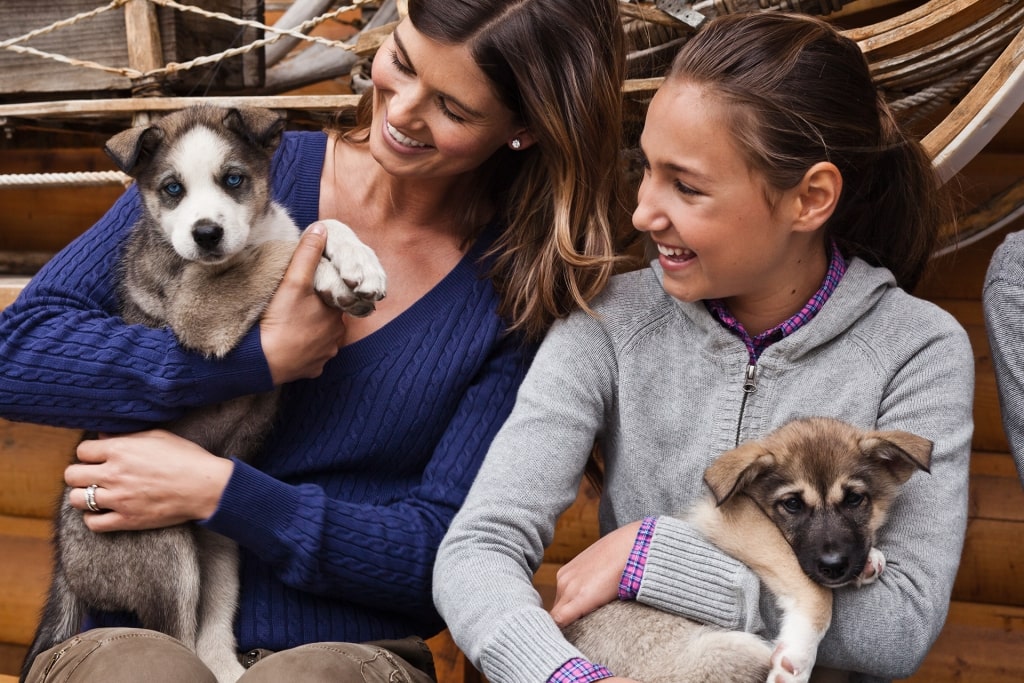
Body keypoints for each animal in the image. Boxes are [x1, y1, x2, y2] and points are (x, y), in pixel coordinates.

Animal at [23, 105, 387, 683]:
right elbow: (286, 249)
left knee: (208, 637)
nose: (207, 234)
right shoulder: (201, 306)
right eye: (172, 189)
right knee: (177, 638)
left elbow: (314, 226)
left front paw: (356, 259)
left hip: (219, 552)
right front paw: (334, 276)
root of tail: (64, 564)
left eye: (233, 180)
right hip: (167, 554)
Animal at [565, 417, 933, 683]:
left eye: (855, 499)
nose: (834, 566)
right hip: (728, 648)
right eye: (792, 504)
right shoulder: (737, 522)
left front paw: (869, 561)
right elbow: (816, 593)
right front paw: (797, 658)